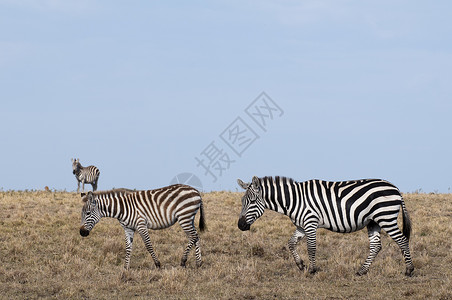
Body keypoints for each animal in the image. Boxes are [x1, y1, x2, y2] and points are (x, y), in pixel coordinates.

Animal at [238, 176, 414, 276]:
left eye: (252, 201)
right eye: (242, 201)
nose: (240, 226)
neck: (294, 199)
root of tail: (396, 188)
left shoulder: (310, 222)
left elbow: (311, 247)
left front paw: (312, 270)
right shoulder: (301, 226)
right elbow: (291, 243)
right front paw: (301, 265)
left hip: (386, 217)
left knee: (402, 240)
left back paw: (409, 270)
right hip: (373, 222)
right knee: (376, 246)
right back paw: (362, 271)